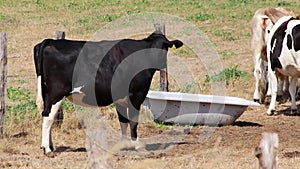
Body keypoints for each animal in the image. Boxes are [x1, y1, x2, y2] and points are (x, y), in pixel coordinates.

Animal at [32, 31, 183, 154]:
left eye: (164, 48)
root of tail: (50, 41)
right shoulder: (137, 94)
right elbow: (133, 121)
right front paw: (138, 146)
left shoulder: (121, 97)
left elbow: (123, 120)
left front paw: (123, 144)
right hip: (56, 93)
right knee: (48, 117)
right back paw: (47, 149)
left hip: (47, 93)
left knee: (46, 115)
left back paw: (50, 146)